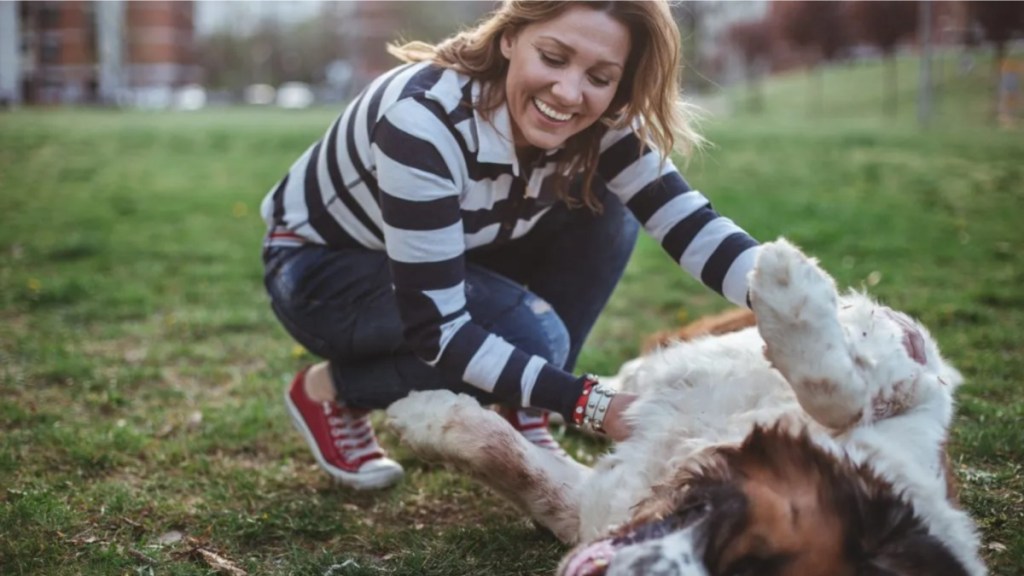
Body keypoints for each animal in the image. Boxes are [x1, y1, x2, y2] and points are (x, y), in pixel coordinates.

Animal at [382, 238, 983, 573]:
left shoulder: (596, 507)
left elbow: (518, 466)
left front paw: (426, 417)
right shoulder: (907, 360)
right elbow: (843, 387)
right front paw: (789, 280)